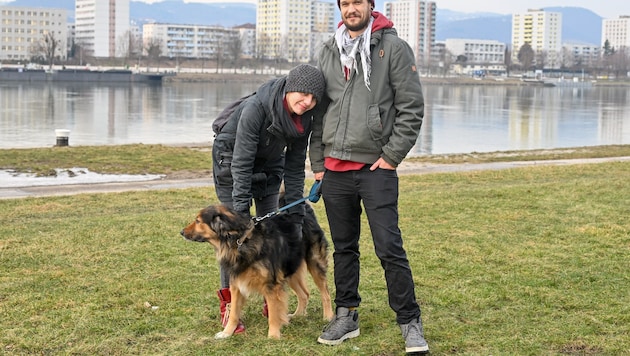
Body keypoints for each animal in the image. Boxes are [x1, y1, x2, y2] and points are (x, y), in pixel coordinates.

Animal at [180, 204, 334, 338]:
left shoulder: (271, 285)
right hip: (290, 269)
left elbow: (273, 313)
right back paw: (298, 315)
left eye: (198, 221)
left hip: (315, 264)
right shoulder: (236, 284)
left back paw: (328, 316)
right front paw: (227, 333)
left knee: (325, 293)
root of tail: (308, 213)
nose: (181, 232)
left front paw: (273, 336)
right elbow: (234, 313)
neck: (240, 241)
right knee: (304, 294)